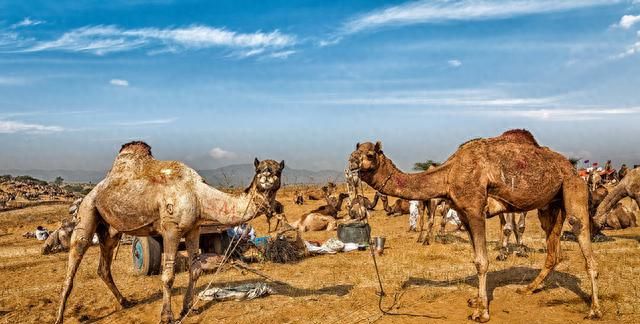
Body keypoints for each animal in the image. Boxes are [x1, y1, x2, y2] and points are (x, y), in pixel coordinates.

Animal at [55, 142, 282, 324]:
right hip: (87, 209)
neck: (197, 194)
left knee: (103, 267)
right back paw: (59, 317)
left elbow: (196, 270)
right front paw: (167, 316)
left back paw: (125, 302)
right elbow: (168, 276)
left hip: (111, 230)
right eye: (259, 169)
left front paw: (189, 308)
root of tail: (96, 189)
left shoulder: (193, 228)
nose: (268, 179)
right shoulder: (171, 228)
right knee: (75, 258)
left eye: (278, 170)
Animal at [348, 129, 604, 322]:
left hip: (573, 188)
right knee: (553, 250)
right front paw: (476, 300)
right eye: (354, 151)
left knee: (581, 233)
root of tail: (572, 168)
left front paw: (481, 312)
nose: (352, 162)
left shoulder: (474, 209)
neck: (448, 174)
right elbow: (476, 258)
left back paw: (594, 309)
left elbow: (482, 261)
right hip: (550, 205)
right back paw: (528, 288)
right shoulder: (463, 214)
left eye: (370, 154)